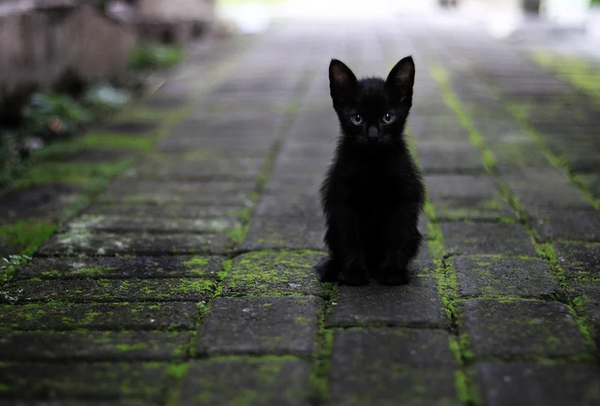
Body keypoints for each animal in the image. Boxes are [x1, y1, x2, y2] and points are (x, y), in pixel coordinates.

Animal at [318, 56, 426, 286]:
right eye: (357, 118)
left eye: (388, 117)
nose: (373, 135)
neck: (373, 164)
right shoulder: (342, 201)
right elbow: (350, 239)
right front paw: (353, 272)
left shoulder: (404, 199)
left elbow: (397, 236)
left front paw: (393, 271)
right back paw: (333, 269)